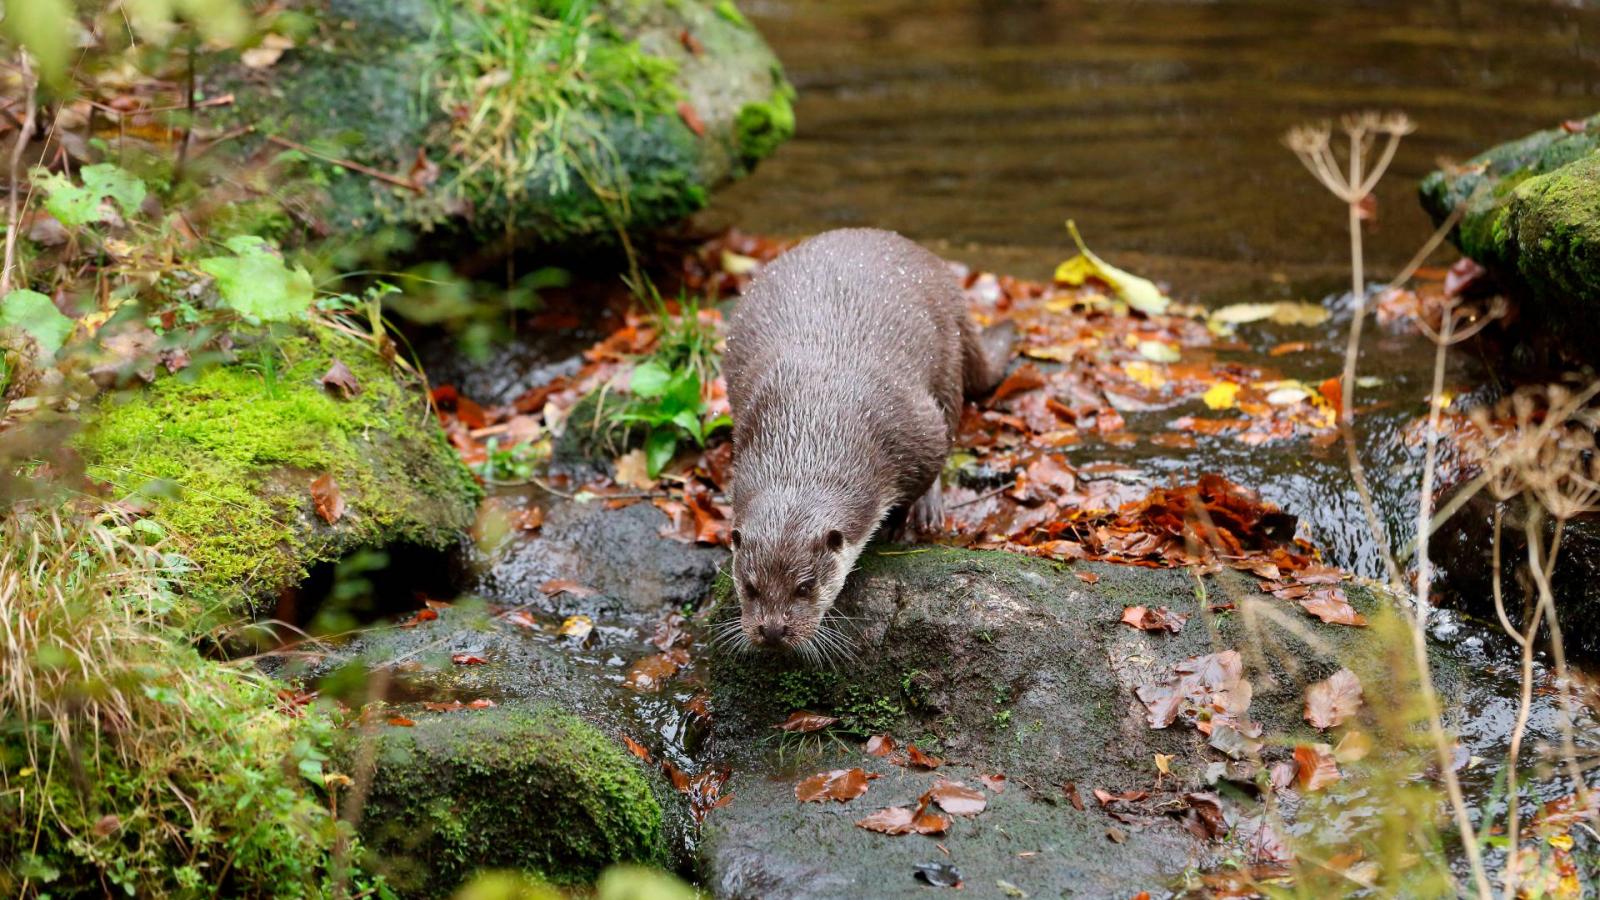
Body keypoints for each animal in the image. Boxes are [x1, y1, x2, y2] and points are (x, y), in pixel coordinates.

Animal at [726, 227, 1011, 656]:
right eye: (750, 587)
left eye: (805, 587)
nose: (773, 631)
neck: (814, 419)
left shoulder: (916, 428)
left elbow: (932, 458)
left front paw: (898, 521)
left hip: (947, 352)